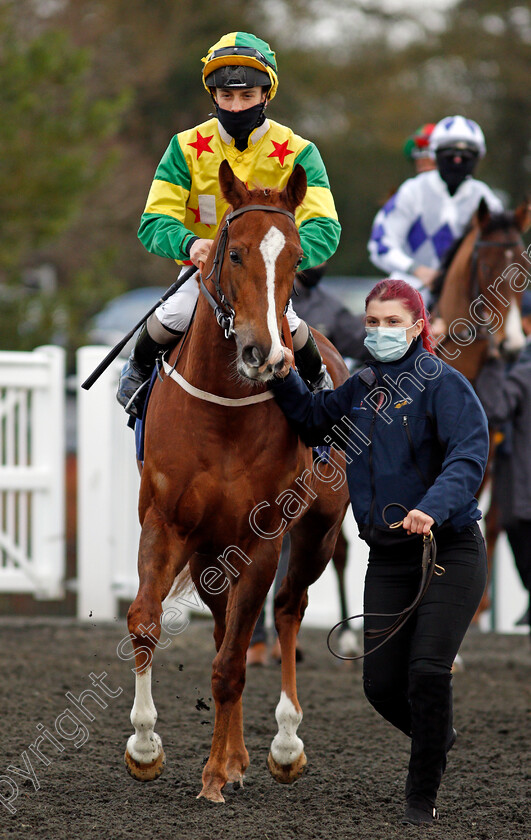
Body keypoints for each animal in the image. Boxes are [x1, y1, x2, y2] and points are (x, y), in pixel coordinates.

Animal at [122, 162, 352, 800]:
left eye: (296, 256)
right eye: (234, 253)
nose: (262, 353)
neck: (223, 411)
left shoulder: (263, 538)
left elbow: (231, 664)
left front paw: (214, 775)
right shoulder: (167, 522)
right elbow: (145, 621)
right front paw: (145, 746)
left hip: (317, 532)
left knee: (288, 610)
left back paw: (282, 745)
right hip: (209, 550)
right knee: (227, 622)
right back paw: (237, 755)